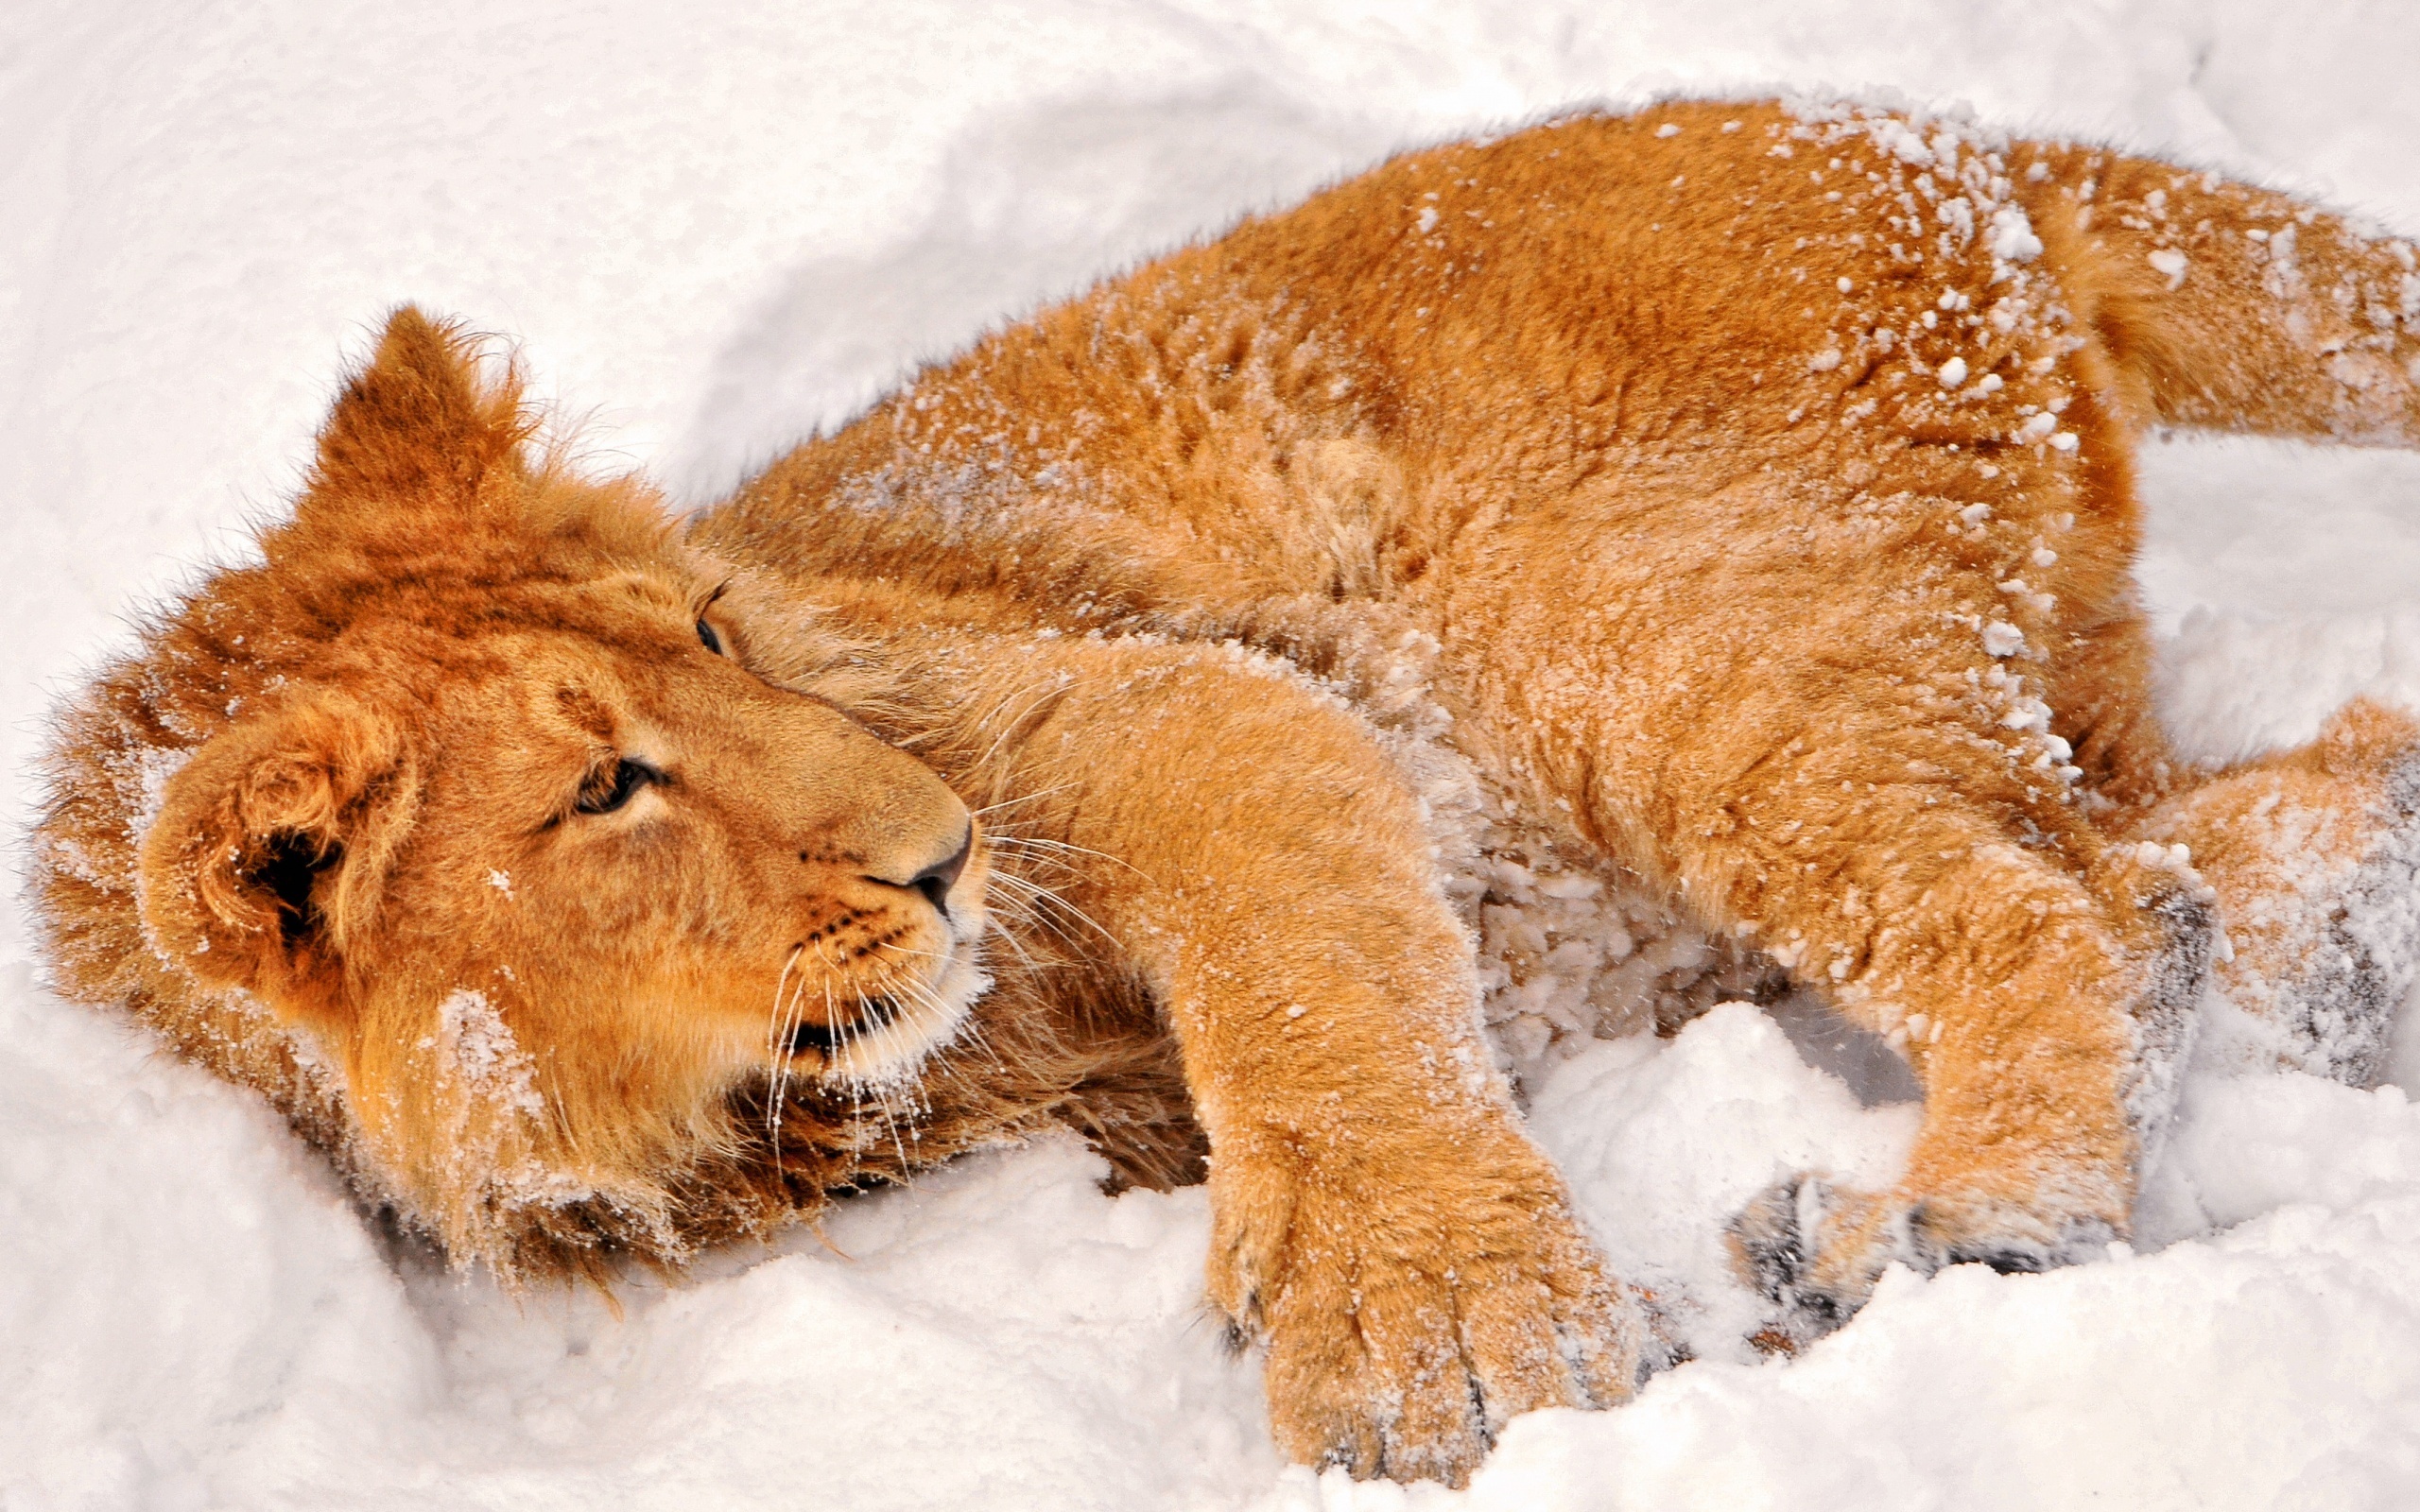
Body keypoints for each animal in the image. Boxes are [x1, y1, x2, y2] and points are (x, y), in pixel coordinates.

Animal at [28, 100, 2420, 1480]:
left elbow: (1298, 980)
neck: (734, 1113)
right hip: (1960, 667)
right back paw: (2326, 955)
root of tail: (1926, 135)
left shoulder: (1140, 702)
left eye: (712, 632)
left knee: (2064, 910)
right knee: (2207, 840)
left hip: (1645, 647)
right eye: (605, 785)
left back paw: (1949, 1227)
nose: (938, 850)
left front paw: (1438, 1336)